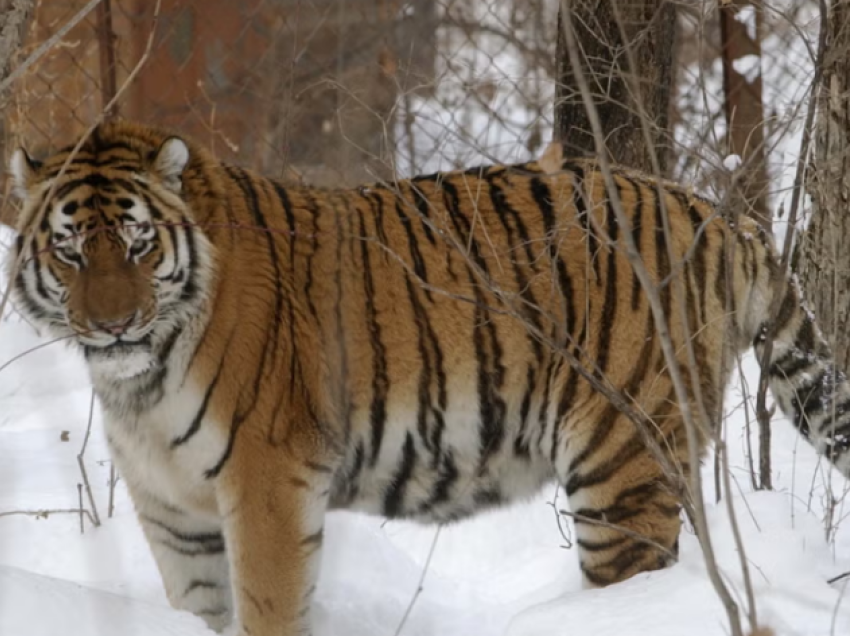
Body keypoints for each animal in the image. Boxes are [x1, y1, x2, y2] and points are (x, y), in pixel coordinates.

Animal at [4, 120, 848, 636]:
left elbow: (268, 606)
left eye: (139, 245)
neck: (139, 384)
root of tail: (719, 215)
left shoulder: (266, 480)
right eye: (71, 252)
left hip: (624, 463)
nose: (113, 324)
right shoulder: (172, 509)